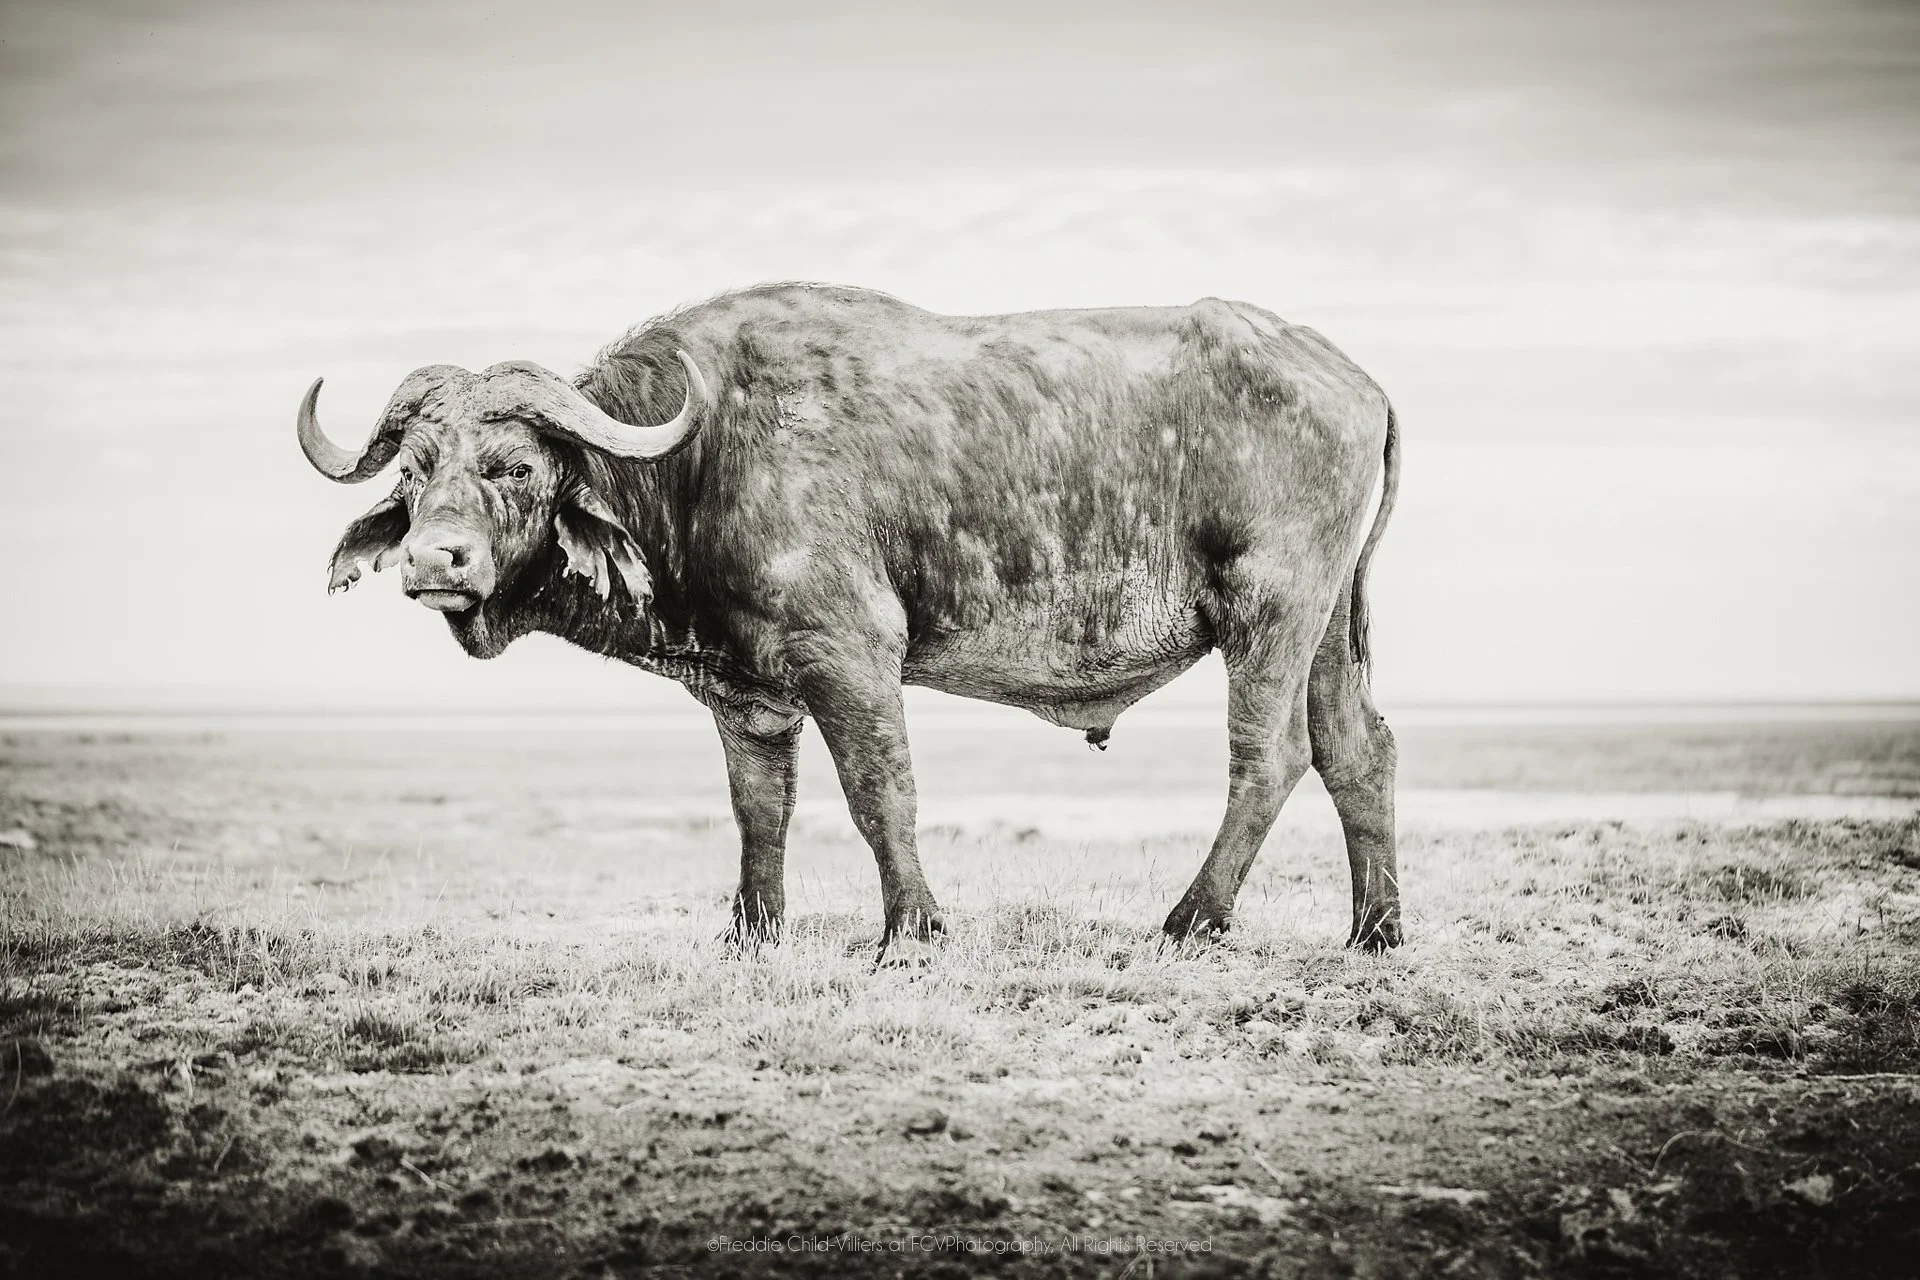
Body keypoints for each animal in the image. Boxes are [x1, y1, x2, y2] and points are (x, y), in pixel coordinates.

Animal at [300, 284, 1403, 954]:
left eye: (518, 467)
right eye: (415, 471)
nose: (433, 559)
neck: (701, 460)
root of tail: (1353, 378)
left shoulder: (852, 656)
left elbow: (882, 793)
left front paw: (910, 928)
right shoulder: (745, 698)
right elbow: (760, 809)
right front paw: (751, 931)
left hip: (1269, 610)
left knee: (1269, 756)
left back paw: (1191, 918)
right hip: (1324, 628)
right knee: (1360, 751)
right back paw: (1376, 930)